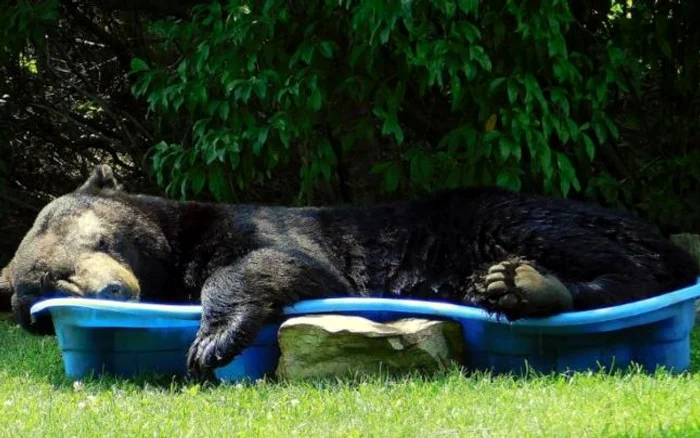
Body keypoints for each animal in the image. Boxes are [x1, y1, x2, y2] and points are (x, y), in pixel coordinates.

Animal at [0, 165, 696, 380]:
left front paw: (212, 340)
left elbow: (284, 263)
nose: (113, 289)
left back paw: (525, 282)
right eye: (49, 285)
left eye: (96, 240)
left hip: (513, 215)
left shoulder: (257, 226)